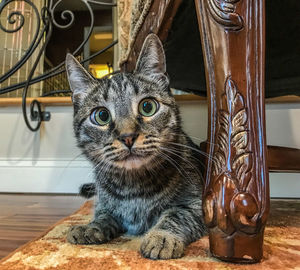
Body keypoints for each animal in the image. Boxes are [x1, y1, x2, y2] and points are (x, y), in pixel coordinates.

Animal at [65, 33, 206, 260]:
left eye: (147, 107)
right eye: (101, 116)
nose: (128, 137)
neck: (133, 188)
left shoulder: (196, 205)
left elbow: (175, 215)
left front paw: (161, 237)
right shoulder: (105, 206)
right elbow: (103, 215)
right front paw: (90, 227)